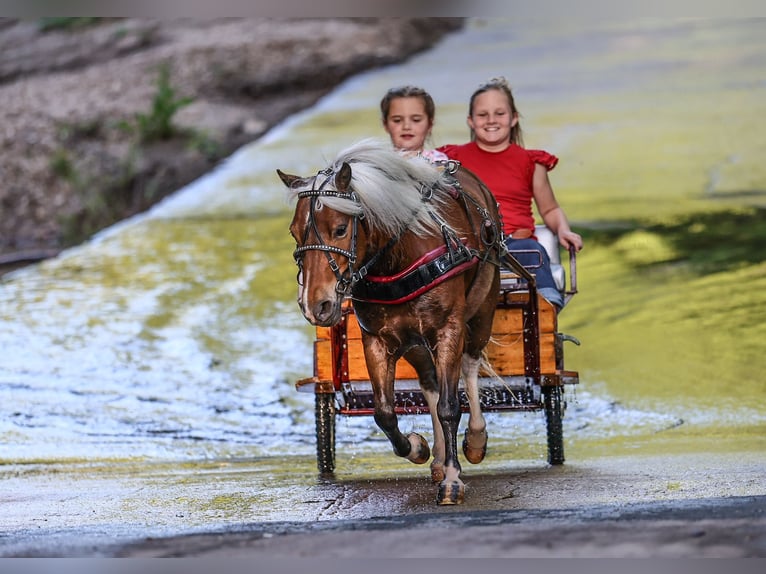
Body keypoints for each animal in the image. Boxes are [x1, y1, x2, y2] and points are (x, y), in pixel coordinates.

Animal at [277, 139, 504, 505]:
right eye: (295, 232)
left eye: (340, 229)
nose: (316, 305)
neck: (398, 258)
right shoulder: (378, 339)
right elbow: (384, 412)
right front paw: (417, 447)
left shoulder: (448, 330)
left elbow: (450, 406)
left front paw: (452, 479)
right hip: (414, 340)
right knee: (429, 382)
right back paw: (438, 456)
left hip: (484, 302)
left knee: (470, 365)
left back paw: (475, 439)